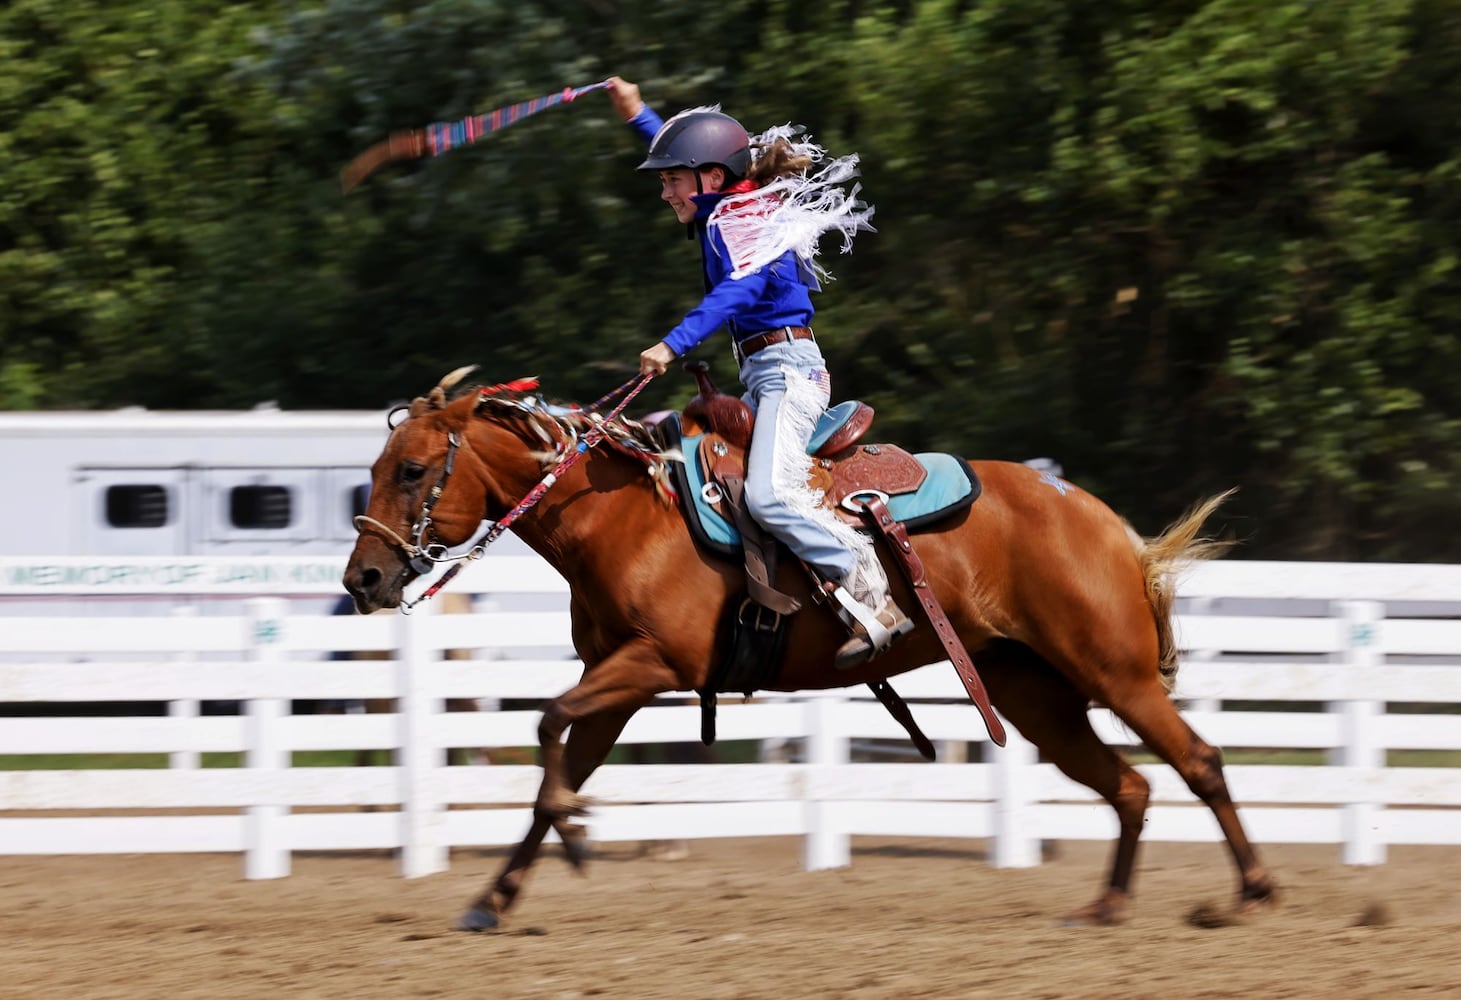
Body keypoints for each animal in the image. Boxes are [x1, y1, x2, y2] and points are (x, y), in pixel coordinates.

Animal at [344, 366, 1279, 929]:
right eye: (379, 467)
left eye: (413, 470)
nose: (363, 579)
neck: (622, 514)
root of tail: (1101, 520)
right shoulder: (619, 683)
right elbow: (556, 766)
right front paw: (497, 895)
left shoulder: (656, 665)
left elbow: (545, 728)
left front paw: (572, 839)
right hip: (1035, 695)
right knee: (1128, 786)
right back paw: (1106, 906)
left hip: (1114, 674)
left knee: (1197, 762)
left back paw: (1250, 892)